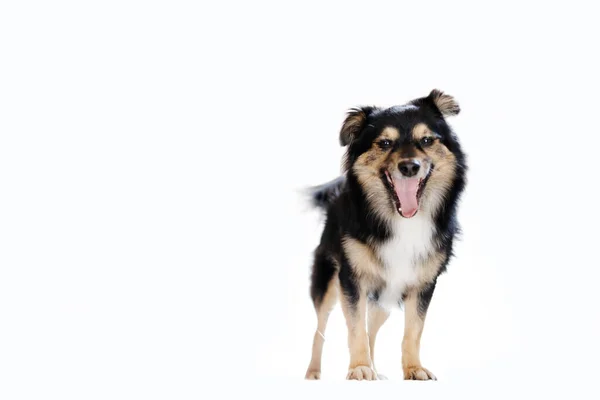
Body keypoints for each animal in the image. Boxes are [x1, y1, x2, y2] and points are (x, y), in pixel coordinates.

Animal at [302, 90, 466, 382]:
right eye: (385, 143)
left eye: (426, 140)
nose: (410, 167)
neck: (403, 220)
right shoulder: (351, 280)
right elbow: (355, 329)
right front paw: (358, 367)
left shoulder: (423, 284)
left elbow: (413, 331)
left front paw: (414, 369)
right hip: (329, 284)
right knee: (319, 329)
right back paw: (313, 372)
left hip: (384, 300)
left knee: (372, 329)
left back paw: (376, 371)